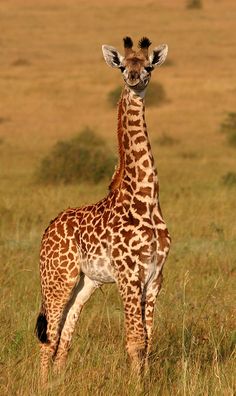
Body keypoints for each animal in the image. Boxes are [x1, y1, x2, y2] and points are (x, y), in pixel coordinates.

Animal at [36, 35, 171, 386]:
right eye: (124, 66)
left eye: (148, 66)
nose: (134, 79)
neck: (146, 199)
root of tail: (47, 230)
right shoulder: (128, 275)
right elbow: (136, 341)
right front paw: (137, 386)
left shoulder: (156, 276)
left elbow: (149, 339)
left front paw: (146, 382)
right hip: (58, 278)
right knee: (48, 335)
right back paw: (42, 384)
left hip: (86, 283)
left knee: (65, 334)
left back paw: (59, 382)